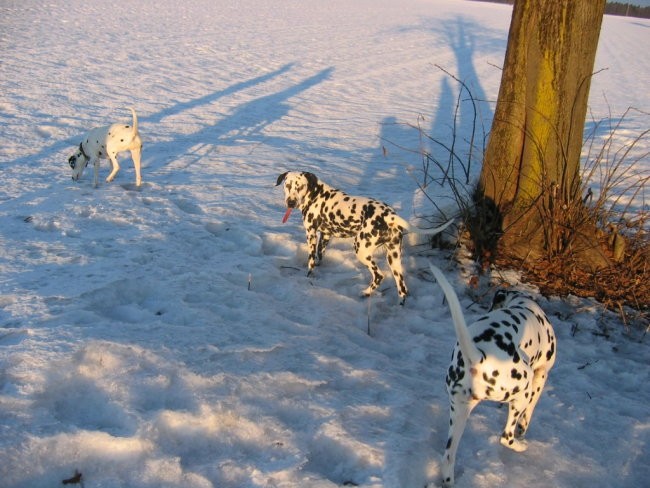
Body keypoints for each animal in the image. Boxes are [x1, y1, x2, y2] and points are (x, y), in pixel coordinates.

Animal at [274, 171, 450, 302]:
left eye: (300, 187)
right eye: (288, 185)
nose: (290, 202)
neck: (315, 194)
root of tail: (390, 215)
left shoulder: (311, 233)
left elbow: (310, 260)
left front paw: (309, 276)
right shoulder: (325, 235)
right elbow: (320, 254)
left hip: (362, 251)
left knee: (379, 276)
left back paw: (365, 293)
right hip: (393, 258)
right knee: (402, 289)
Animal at [428, 264, 556, 486]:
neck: (521, 302)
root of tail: (478, 357)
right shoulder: (541, 375)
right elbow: (529, 411)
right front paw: (523, 427)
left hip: (459, 412)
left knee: (448, 457)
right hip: (524, 387)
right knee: (506, 437)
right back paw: (520, 444)